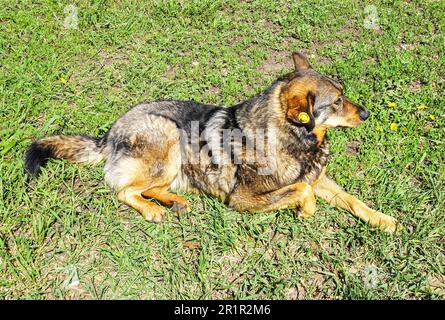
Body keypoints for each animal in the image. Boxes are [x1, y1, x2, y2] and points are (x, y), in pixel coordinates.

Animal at [25, 52, 396, 232]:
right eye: (337, 102)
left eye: (343, 95)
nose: (366, 113)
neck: (292, 138)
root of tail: (112, 131)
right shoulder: (242, 200)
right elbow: (302, 192)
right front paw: (306, 211)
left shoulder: (319, 178)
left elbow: (352, 199)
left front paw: (383, 220)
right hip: (170, 138)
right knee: (124, 191)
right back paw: (153, 210)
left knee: (146, 188)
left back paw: (174, 201)